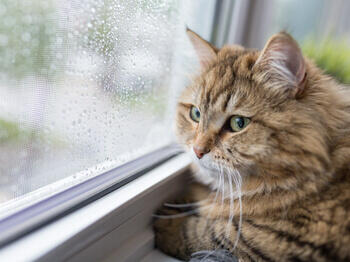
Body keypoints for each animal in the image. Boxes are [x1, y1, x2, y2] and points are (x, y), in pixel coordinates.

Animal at [153, 29, 350, 262]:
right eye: (196, 114)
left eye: (238, 123)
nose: (197, 151)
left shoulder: (284, 239)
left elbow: (214, 232)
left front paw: (169, 221)